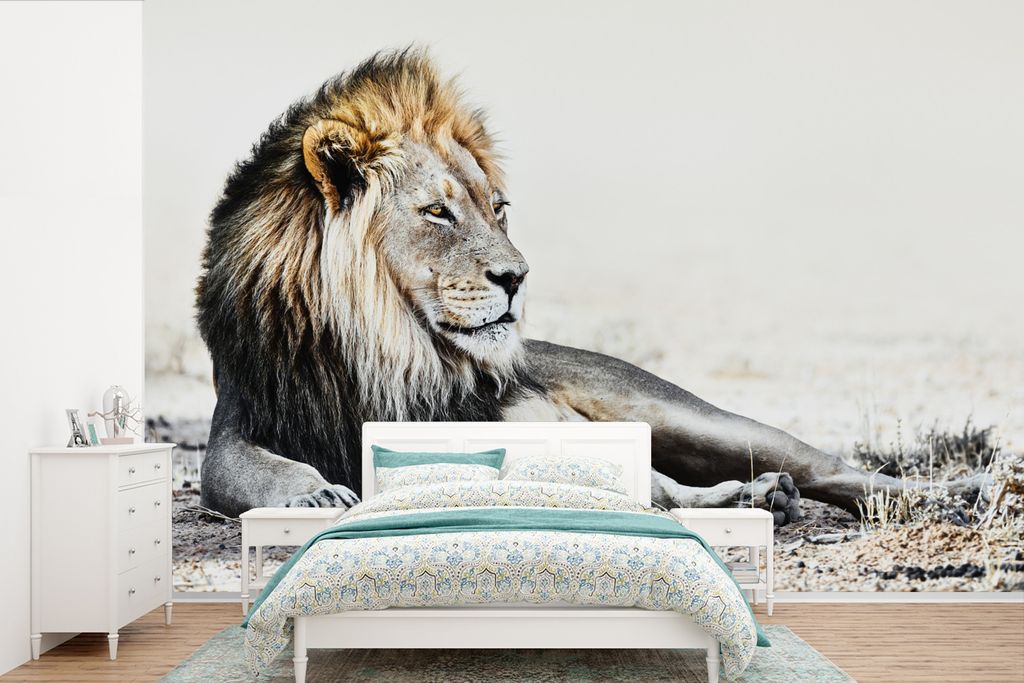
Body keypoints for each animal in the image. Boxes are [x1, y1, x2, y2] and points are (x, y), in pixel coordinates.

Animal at [195, 49, 988, 523]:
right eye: (437, 212)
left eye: (498, 208)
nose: (517, 277)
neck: (385, 345)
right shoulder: (241, 420)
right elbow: (251, 473)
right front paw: (317, 492)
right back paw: (761, 498)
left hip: (684, 416)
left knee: (824, 469)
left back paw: (953, 494)